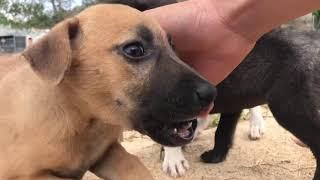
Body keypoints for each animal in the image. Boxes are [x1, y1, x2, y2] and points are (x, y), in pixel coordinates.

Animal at [0, 4, 215, 180]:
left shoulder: (108, 153)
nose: (211, 93)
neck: (81, 120)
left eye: (173, 46)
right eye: (135, 50)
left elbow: (134, 165)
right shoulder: (23, 174)